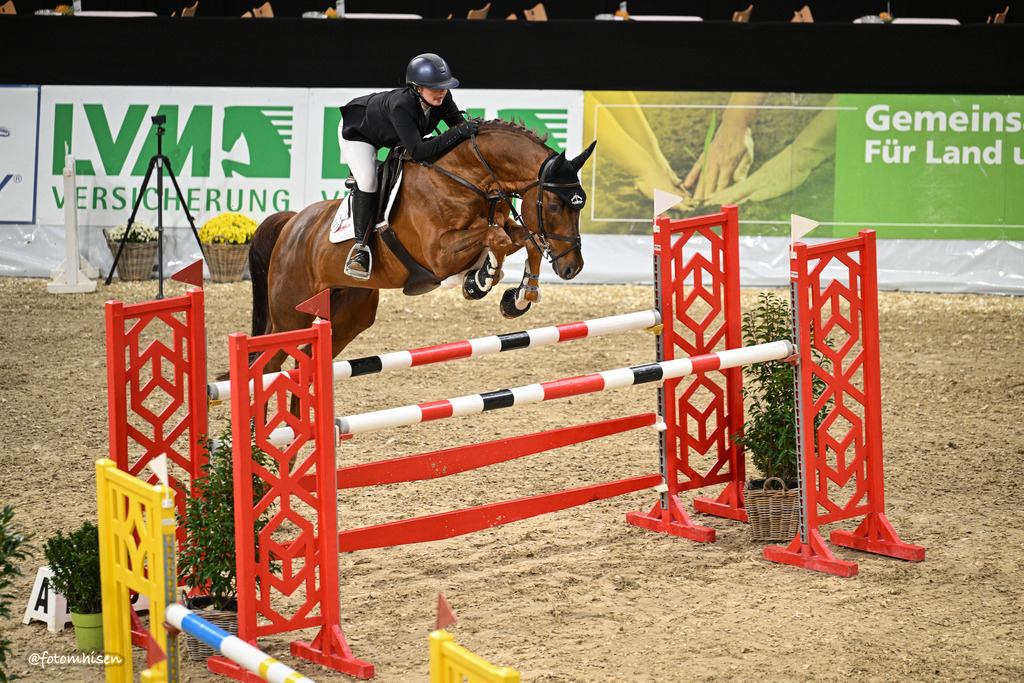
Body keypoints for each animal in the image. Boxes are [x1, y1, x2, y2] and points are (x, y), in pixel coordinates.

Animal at [245, 119, 597, 378]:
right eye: (554, 206)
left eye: (581, 205)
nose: (572, 268)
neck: (465, 177)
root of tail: (292, 223)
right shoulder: (438, 253)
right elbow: (498, 238)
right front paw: (481, 280)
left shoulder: (498, 225)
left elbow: (524, 240)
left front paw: (519, 297)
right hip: (291, 314)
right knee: (269, 363)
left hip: (349, 315)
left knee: (303, 360)